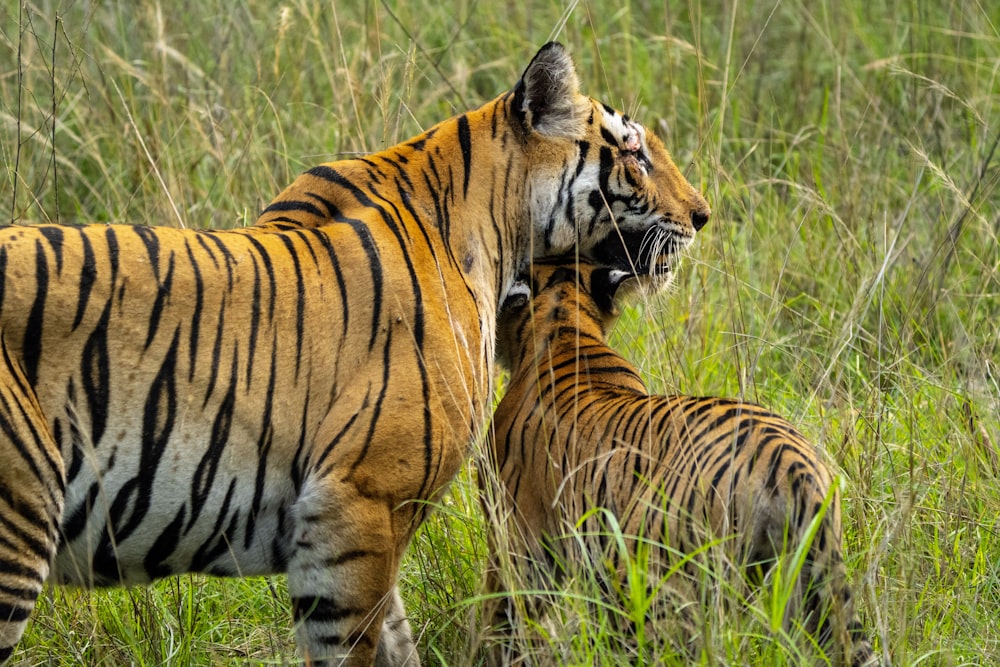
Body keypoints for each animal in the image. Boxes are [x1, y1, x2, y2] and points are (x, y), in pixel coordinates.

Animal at [0, 43, 712, 667]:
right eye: (634, 151)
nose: (704, 215)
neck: (492, 228)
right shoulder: (360, 503)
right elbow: (356, 647)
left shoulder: (361, 522)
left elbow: (397, 639)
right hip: (20, 520)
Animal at [484, 258, 884, 667]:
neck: (565, 325)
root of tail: (791, 465)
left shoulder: (518, 542)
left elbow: (501, 618)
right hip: (804, 591)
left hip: (653, 582)